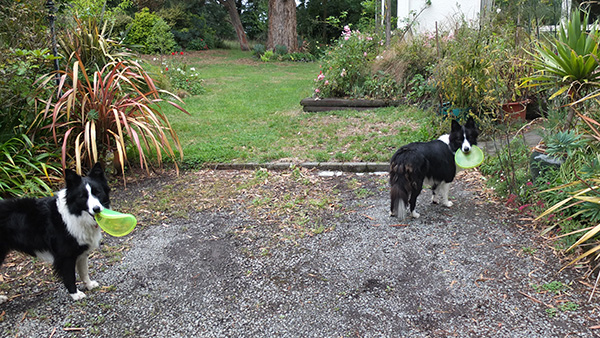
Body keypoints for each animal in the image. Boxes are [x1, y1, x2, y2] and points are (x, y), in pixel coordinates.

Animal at [0, 162, 110, 302]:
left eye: (98, 192)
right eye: (83, 197)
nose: (96, 209)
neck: (73, 214)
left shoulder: (81, 251)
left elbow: (84, 271)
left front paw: (89, 285)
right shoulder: (65, 255)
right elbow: (70, 276)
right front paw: (75, 294)